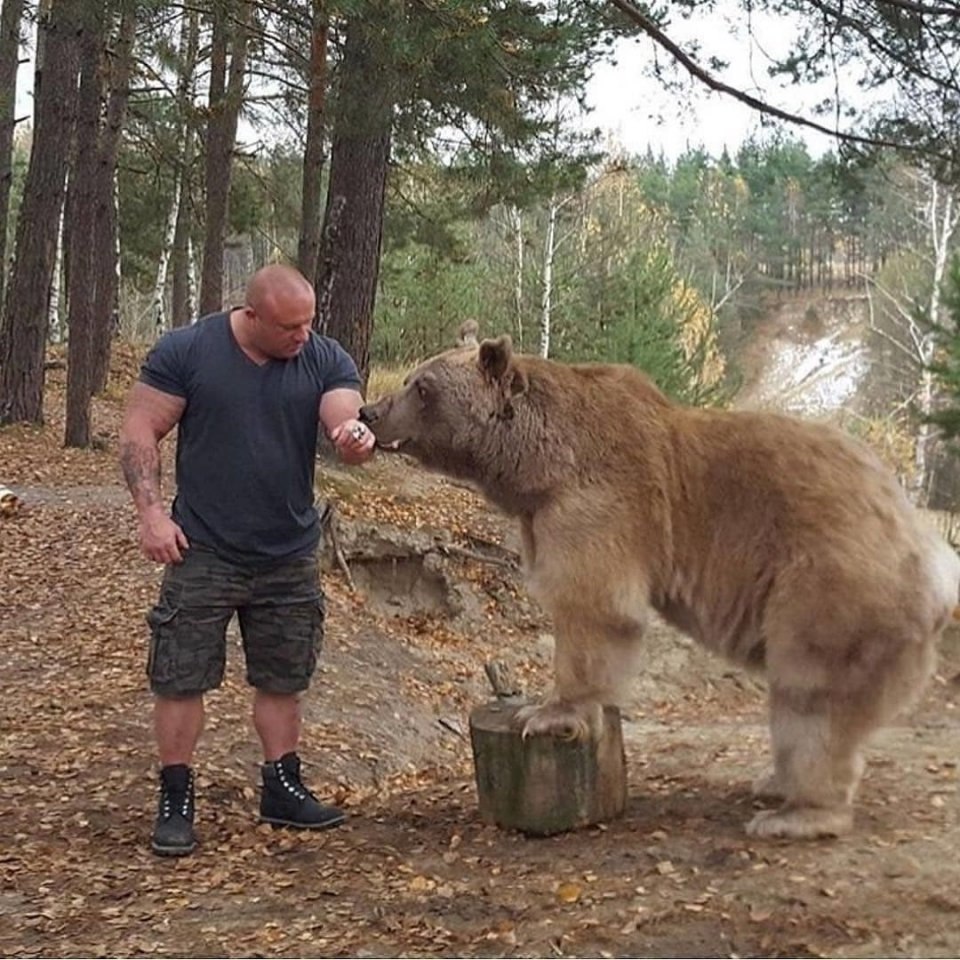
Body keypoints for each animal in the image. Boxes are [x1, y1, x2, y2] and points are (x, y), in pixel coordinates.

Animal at [360, 338, 960, 840]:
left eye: (422, 386)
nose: (370, 411)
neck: (540, 464)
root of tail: (931, 551)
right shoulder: (543, 515)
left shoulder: (601, 505)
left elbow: (595, 606)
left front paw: (548, 714)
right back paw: (775, 783)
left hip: (830, 584)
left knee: (813, 694)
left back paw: (795, 814)